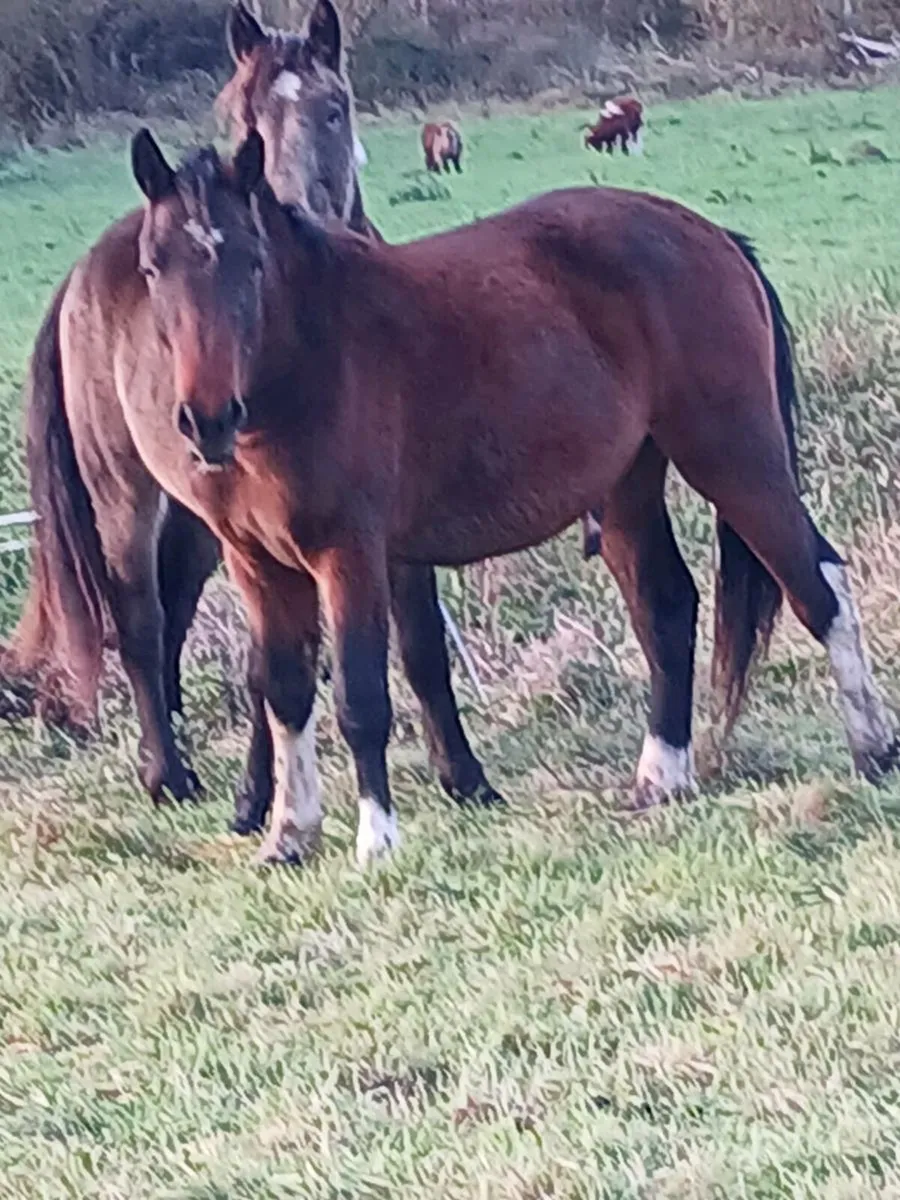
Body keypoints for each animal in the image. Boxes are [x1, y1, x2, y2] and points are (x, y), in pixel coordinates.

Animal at [1, 0, 501, 836]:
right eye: (248, 119)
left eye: (333, 109)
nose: (290, 213)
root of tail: (82, 274)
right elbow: (271, 665)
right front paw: (256, 800)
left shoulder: (386, 517)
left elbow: (422, 644)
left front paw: (464, 776)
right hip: (123, 494)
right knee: (140, 620)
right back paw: (166, 773)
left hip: (192, 518)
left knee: (173, 610)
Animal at [116, 127, 897, 867]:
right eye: (154, 267)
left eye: (250, 259)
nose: (206, 418)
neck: (310, 359)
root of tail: (713, 238)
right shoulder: (258, 564)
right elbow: (285, 692)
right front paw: (288, 835)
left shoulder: (350, 555)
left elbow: (360, 699)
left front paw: (377, 841)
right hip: (627, 487)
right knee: (667, 608)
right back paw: (661, 776)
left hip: (734, 458)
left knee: (818, 585)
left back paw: (873, 751)